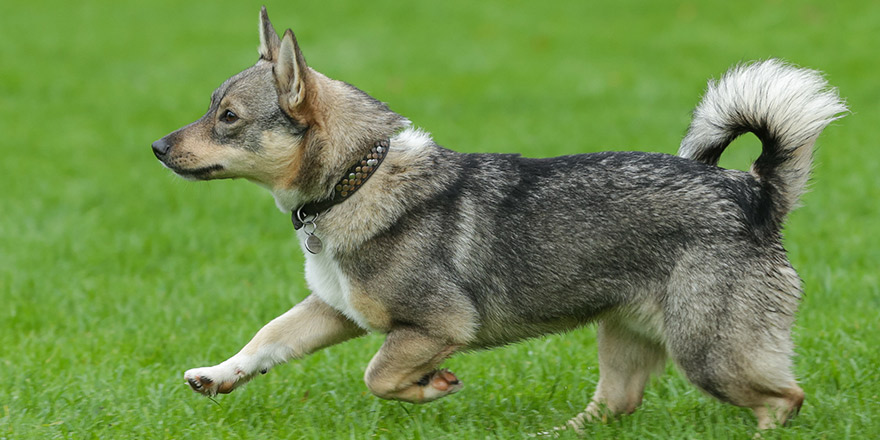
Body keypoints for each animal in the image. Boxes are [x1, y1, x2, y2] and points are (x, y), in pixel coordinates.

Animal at [151, 6, 844, 432]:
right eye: (212, 108)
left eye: (228, 118)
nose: (156, 147)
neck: (358, 180)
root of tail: (755, 192)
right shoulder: (334, 310)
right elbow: (267, 338)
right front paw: (216, 376)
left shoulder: (436, 325)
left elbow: (379, 375)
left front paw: (432, 386)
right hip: (627, 333)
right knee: (614, 405)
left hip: (706, 351)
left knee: (784, 399)